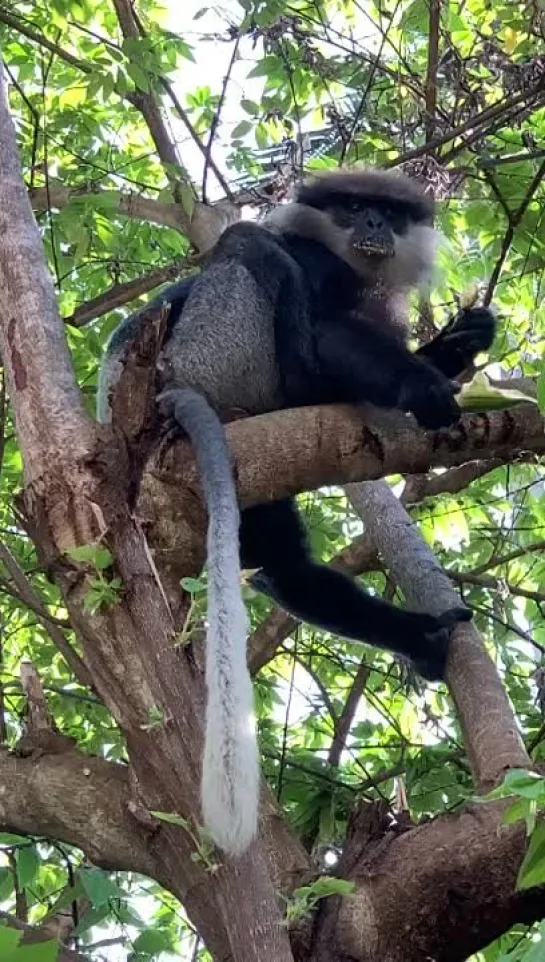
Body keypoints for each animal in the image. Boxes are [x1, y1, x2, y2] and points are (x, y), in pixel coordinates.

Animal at [95, 165, 496, 856]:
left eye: (389, 214)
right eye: (355, 208)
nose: (374, 225)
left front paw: (461, 340)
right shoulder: (318, 267)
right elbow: (328, 325)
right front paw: (421, 380)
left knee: (286, 569)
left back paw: (415, 634)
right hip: (210, 354)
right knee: (252, 259)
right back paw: (304, 366)